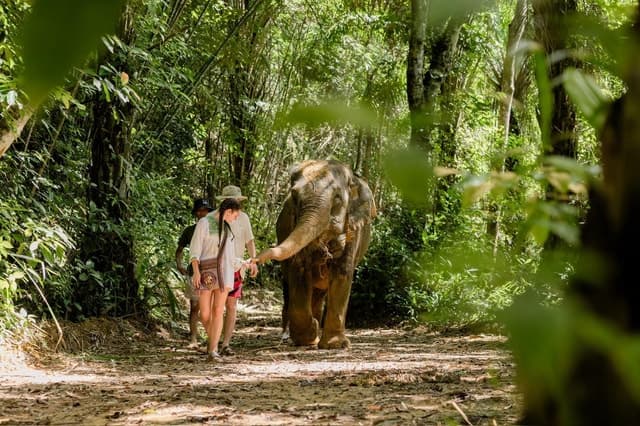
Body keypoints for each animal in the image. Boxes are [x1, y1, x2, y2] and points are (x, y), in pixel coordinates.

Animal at [256, 159, 376, 349]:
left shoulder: (353, 230)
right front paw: (309, 335)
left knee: (319, 294)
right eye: (294, 197)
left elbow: (342, 273)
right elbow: (299, 270)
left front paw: (335, 345)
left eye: (337, 198)